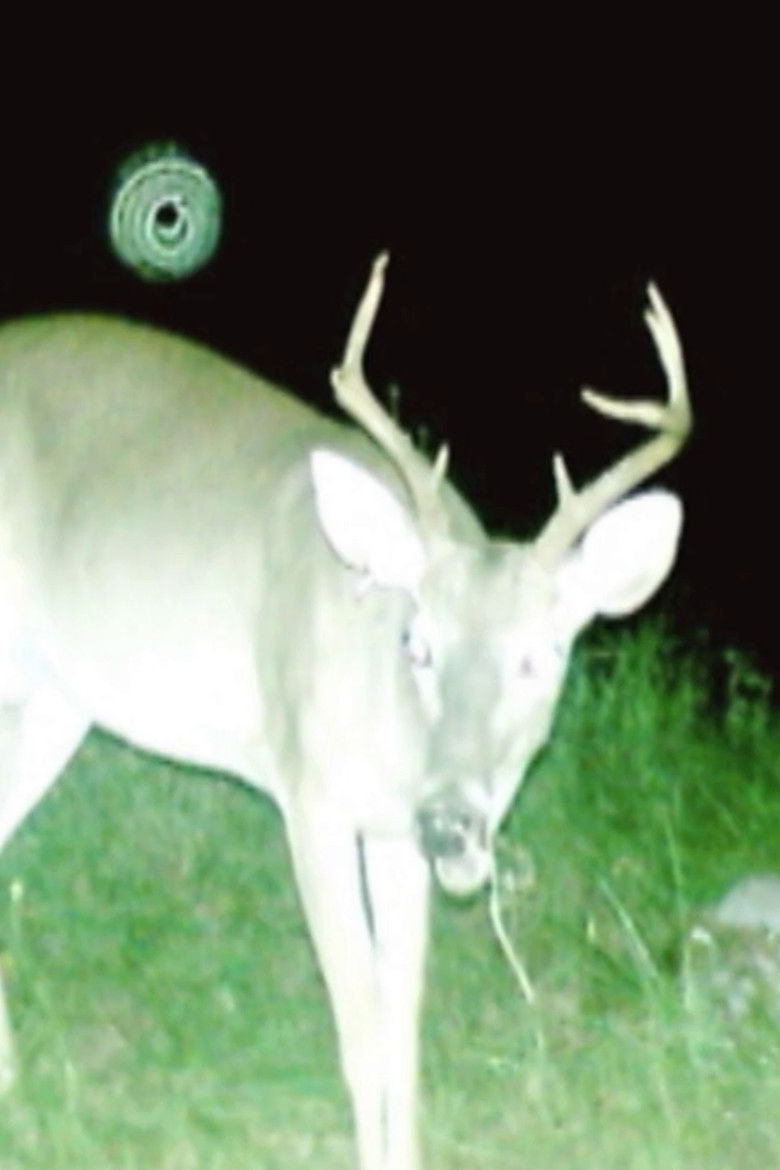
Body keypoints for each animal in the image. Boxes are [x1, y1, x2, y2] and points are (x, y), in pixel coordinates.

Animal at [0, 253, 690, 1170]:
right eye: (417, 642)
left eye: (539, 656)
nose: (452, 822)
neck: (393, 744)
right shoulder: (310, 794)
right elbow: (360, 1027)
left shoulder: (394, 833)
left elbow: (403, 1026)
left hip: (55, 697)